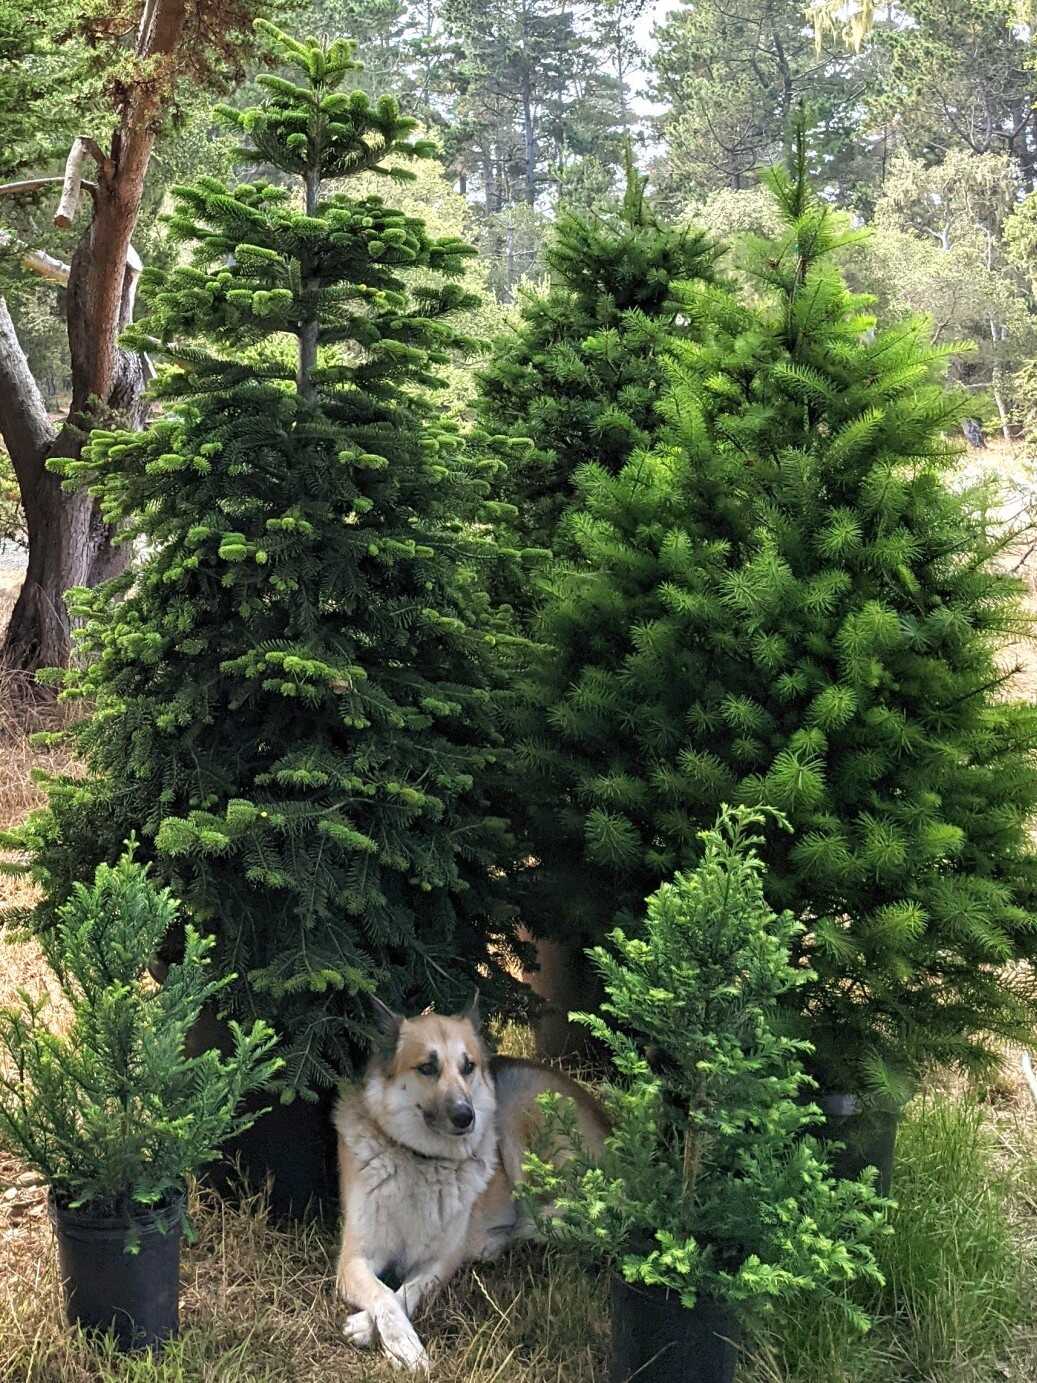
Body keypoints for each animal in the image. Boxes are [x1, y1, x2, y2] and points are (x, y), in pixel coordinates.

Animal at [333, 995, 608, 1371]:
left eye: (468, 1067)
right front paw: (402, 1343)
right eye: (427, 1067)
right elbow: (385, 1295)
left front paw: (367, 1328)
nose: (466, 1117)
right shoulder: (354, 1259)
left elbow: (408, 1291)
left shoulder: (441, 1262)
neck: (423, 1159)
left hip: (518, 1125)